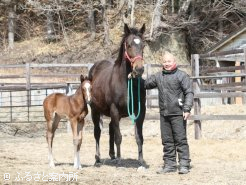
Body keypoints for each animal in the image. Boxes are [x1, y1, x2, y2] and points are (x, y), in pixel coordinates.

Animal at [88, 23, 146, 166]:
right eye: (129, 45)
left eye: (143, 45)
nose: (139, 69)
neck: (125, 83)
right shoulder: (114, 109)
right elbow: (118, 137)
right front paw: (120, 160)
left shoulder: (140, 111)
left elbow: (139, 137)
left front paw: (141, 160)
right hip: (95, 111)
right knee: (97, 132)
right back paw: (98, 159)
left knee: (110, 129)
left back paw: (112, 155)